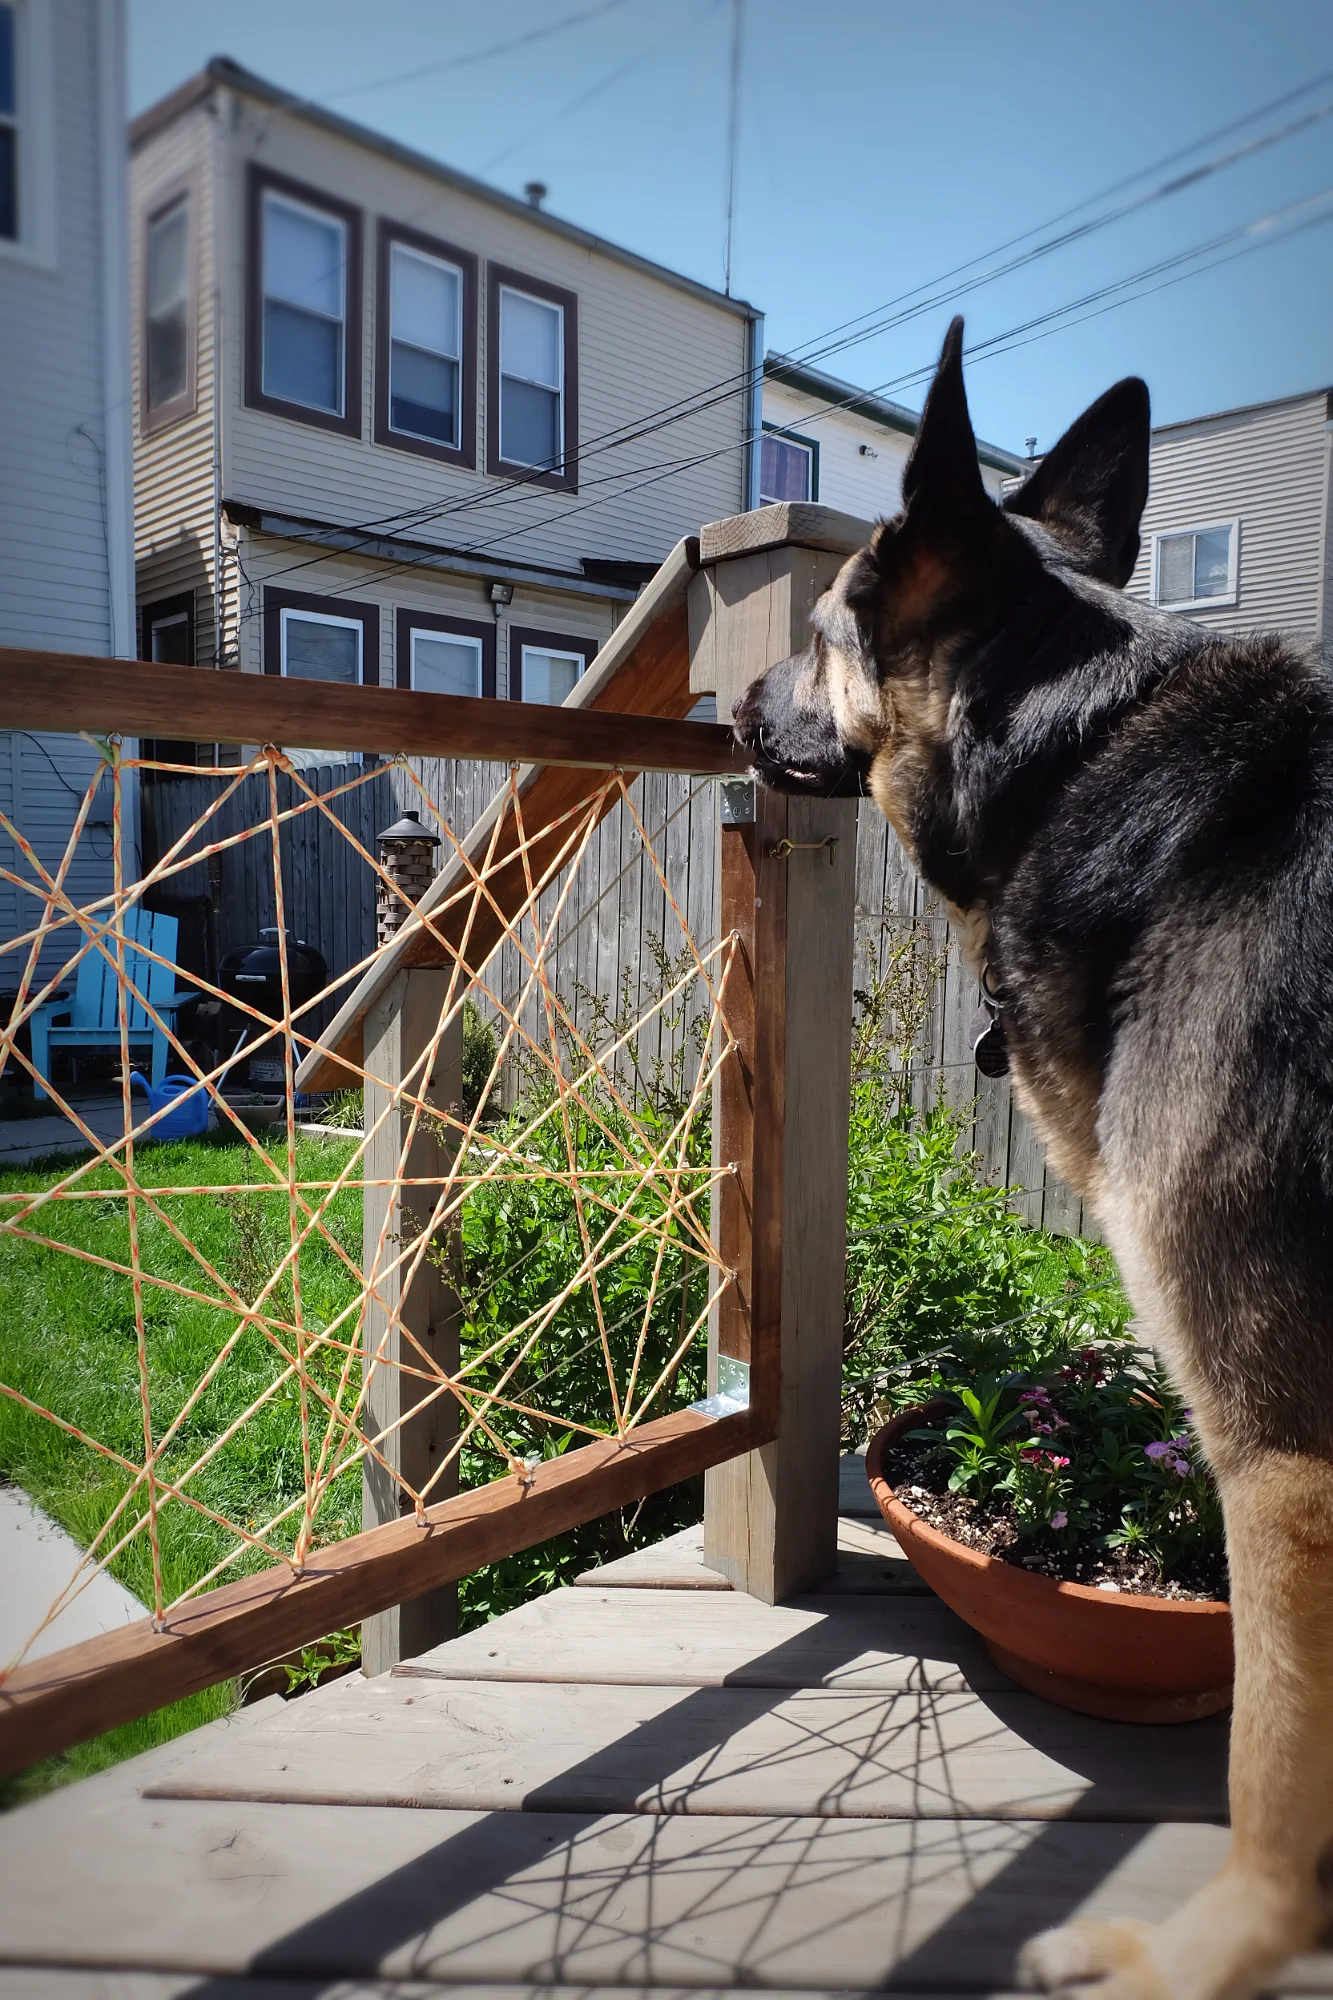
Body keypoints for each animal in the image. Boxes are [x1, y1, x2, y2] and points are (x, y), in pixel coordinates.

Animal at [732, 320, 1328, 1992]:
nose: (728, 704)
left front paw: (1202, 1959)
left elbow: (1272, 1772)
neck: (1082, 764)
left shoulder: (1284, 1457)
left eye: (820, 627)